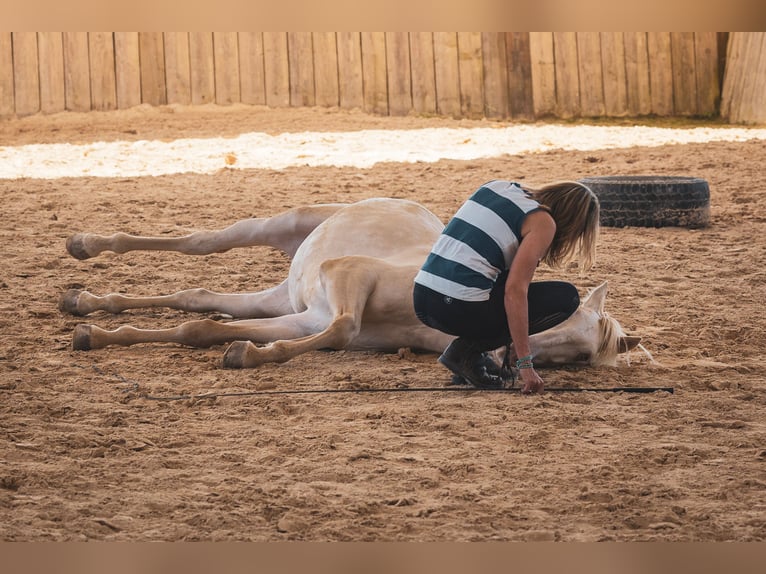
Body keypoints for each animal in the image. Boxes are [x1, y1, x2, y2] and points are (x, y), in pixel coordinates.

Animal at [59, 198, 641, 372]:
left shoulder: (305, 318)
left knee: (196, 300)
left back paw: (85, 306)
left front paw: (245, 351)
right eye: (556, 315)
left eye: (579, 356)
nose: (510, 356)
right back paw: (85, 245)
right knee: (201, 243)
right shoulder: (347, 275)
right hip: (275, 227)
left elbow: (202, 330)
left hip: (279, 297)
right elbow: (343, 328)